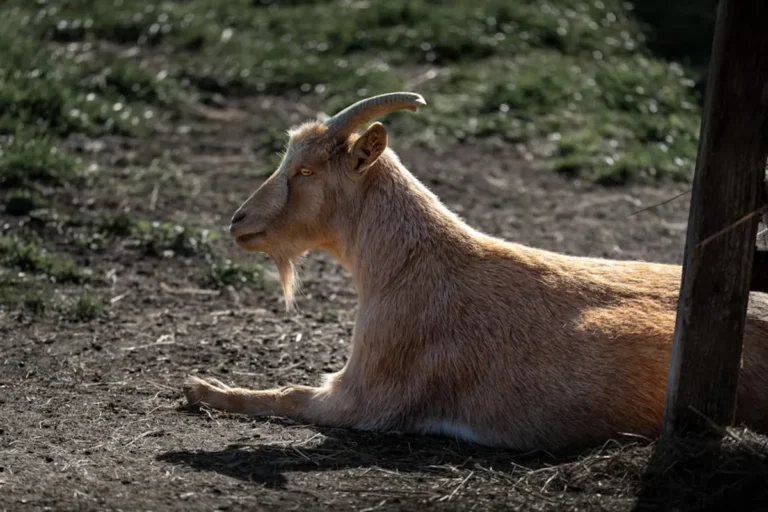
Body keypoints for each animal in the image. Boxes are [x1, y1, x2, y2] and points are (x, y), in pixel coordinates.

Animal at [183, 92, 768, 453]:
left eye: (305, 171)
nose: (239, 221)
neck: (411, 263)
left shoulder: (365, 397)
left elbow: (289, 395)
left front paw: (201, 387)